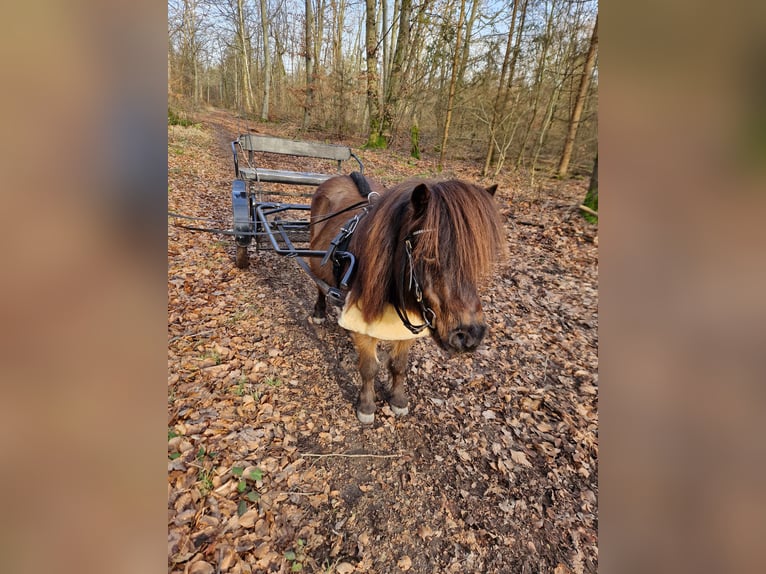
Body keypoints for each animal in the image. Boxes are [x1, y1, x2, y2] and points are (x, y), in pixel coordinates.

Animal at [308, 174, 508, 424]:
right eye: (429, 255)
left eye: (474, 259)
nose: (470, 335)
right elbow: (369, 367)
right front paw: (366, 405)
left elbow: (399, 365)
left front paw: (398, 399)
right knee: (318, 283)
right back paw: (319, 311)